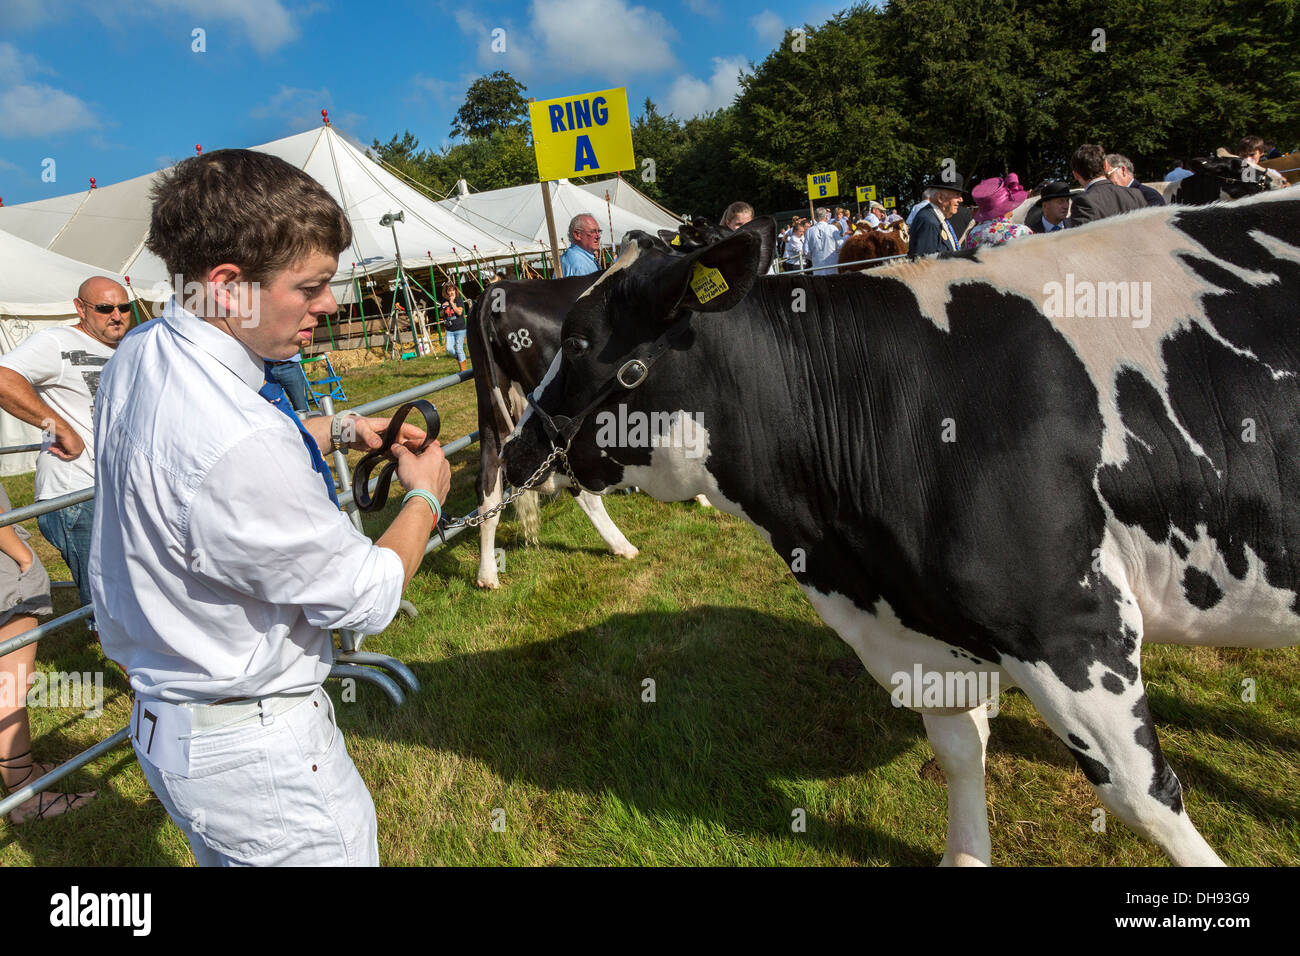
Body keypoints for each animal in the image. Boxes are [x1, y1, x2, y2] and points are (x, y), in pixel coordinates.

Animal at [465, 274, 637, 590]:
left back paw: (487, 575)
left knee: (488, 484)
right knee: (576, 483)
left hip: (488, 399)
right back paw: (621, 544)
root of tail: (496, 291)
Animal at [504, 195, 1300, 868]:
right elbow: (959, 751)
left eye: (579, 340)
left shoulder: (1071, 627)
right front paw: (966, 857)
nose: (516, 450)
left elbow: (1145, 796)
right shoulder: (928, 631)